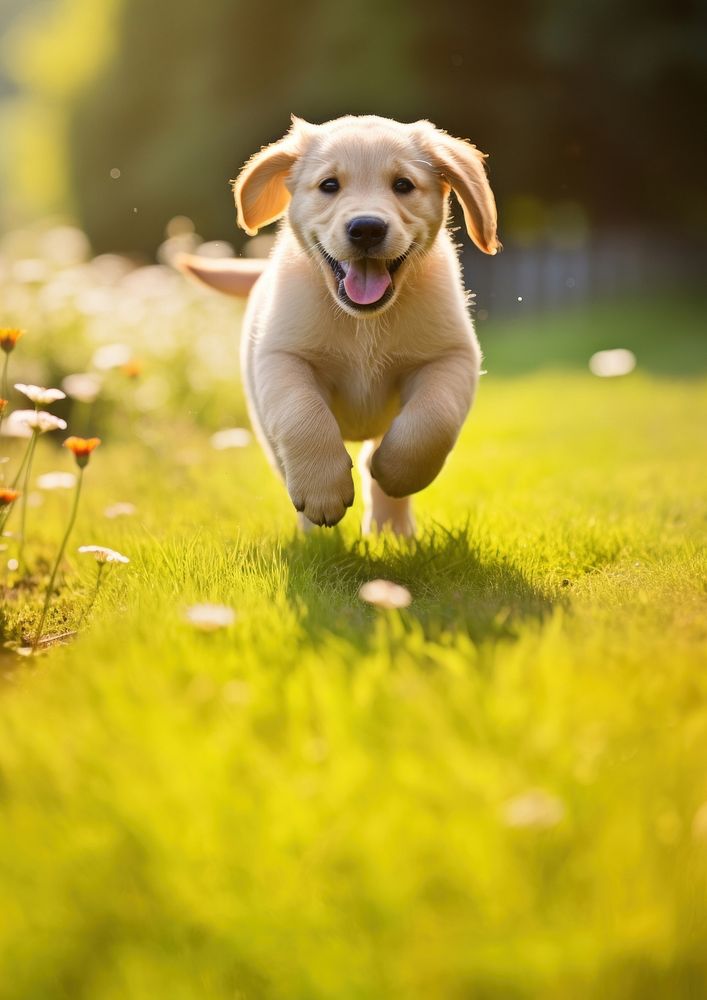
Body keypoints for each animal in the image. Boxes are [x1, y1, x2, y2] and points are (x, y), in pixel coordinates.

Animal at [180, 113, 500, 536]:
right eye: (329, 185)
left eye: (403, 185)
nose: (366, 228)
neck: (362, 322)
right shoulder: (283, 357)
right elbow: (303, 416)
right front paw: (322, 493)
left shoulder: (450, 356)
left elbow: (433, 420)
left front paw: (397, 472)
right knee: (286, 463)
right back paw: (315, 536)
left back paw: (392, 532)